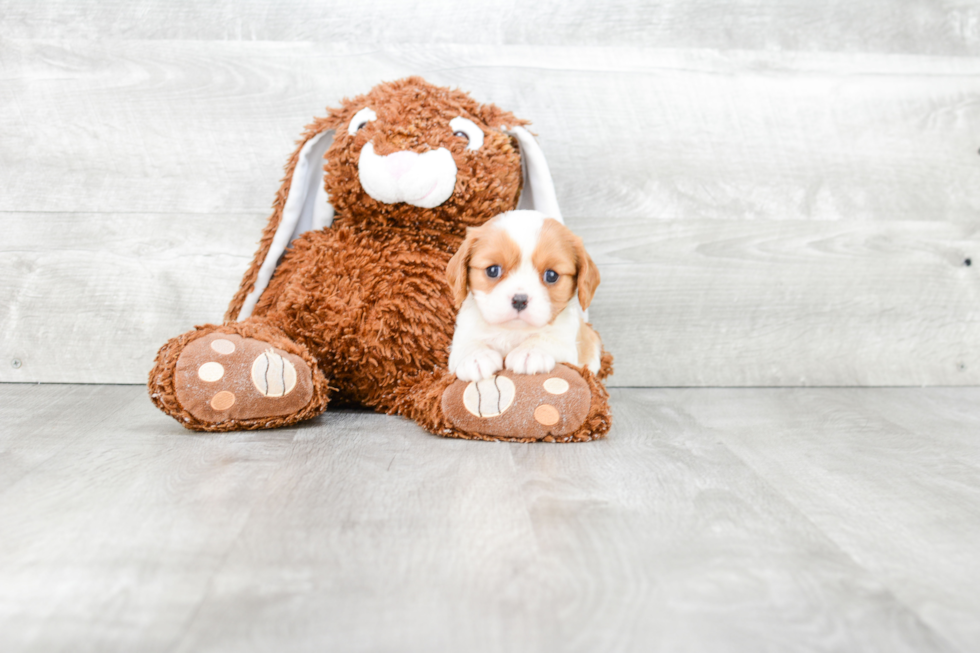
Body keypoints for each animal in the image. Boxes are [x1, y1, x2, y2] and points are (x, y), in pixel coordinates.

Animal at [448, 209, 600, 382]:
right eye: (493, 270)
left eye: (551, 275)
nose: (519, 301)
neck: (512, 331)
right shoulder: (461, 338)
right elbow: (467, 343)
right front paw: (475, 357)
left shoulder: (566, 344)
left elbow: (547, 339)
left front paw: (530, 352)